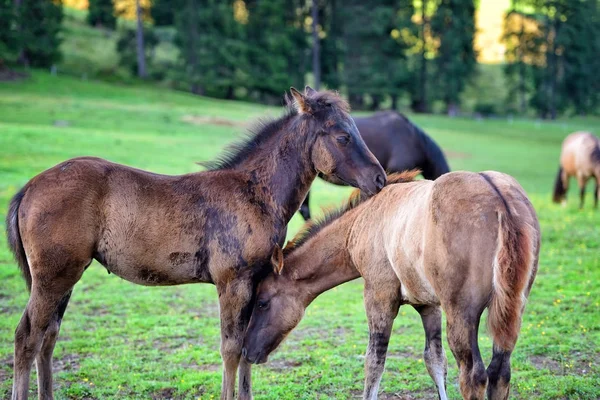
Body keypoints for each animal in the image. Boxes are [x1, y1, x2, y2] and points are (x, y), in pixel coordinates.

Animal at [4, 86, 386, 398]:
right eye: (342, 136)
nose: (380, 179)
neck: (253, 193)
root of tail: (29, 188)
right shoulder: (232, 282)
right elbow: (231, 348)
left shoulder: (255, 282)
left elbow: (245, 348)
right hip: (53, 277)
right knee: (27, 336)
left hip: (65, 277)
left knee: (48, 336)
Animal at [243, 170, 540, 398]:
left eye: (262, 302)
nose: (247, 350)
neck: (363, 220)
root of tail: (500, 201)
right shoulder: (429, 305)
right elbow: (435, 361)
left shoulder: (378, 295)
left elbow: (374, 362)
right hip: (510, 312)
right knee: (500, 372)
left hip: (462, 313)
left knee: (474, 375)